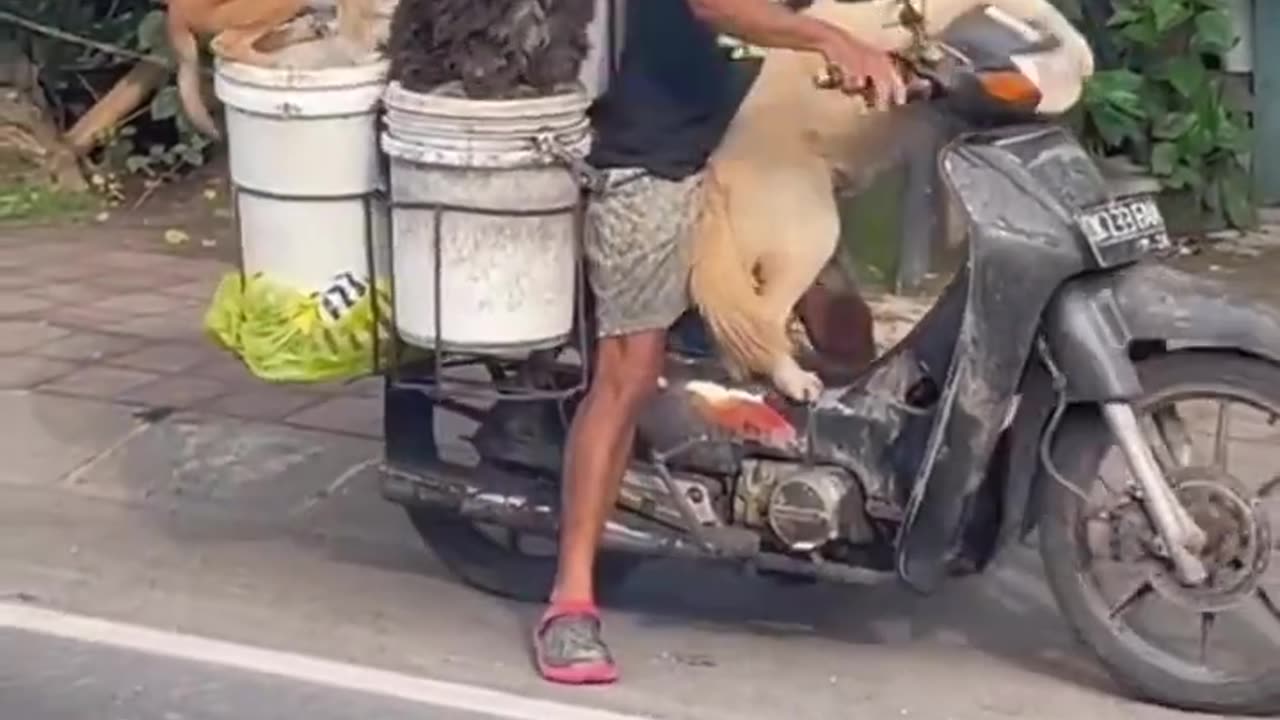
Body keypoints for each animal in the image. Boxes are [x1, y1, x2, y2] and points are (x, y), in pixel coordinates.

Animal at [163, 0, 378, 137]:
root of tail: (174, 12)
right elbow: (356, 34)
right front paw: (364, 56)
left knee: (259, 41)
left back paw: (305, 31)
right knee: (226, 43)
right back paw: (278, 62)